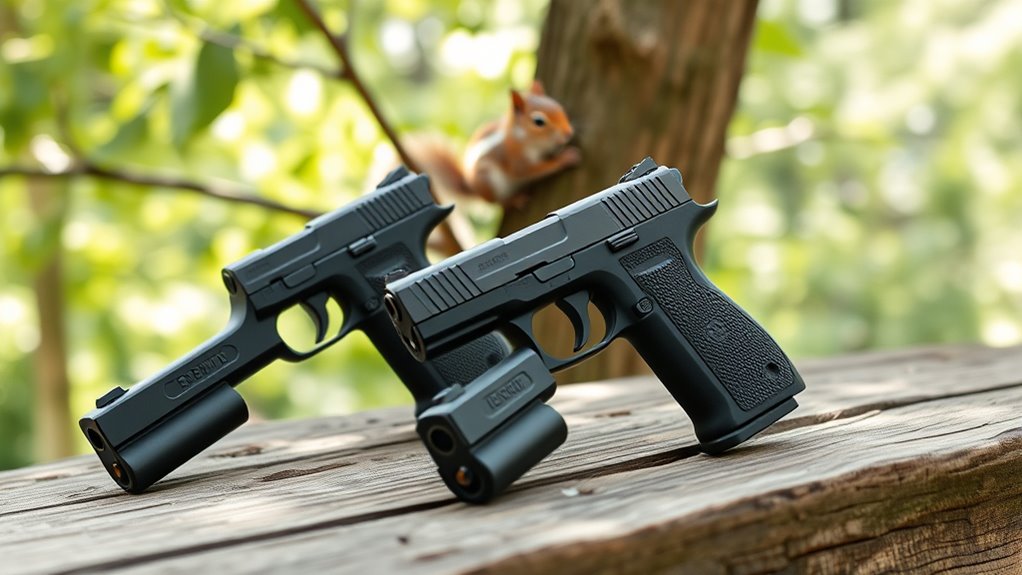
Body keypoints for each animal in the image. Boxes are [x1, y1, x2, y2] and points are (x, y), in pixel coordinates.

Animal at [408, 80, 580, 209]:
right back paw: (515, 200)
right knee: (498, 203)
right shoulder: (515, 159)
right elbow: (530, 170)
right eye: (538, 122)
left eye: (559, 107)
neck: (521, 137)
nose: (568, 133)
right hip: (489, 182)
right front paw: (564, 158)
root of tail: (473, 188)